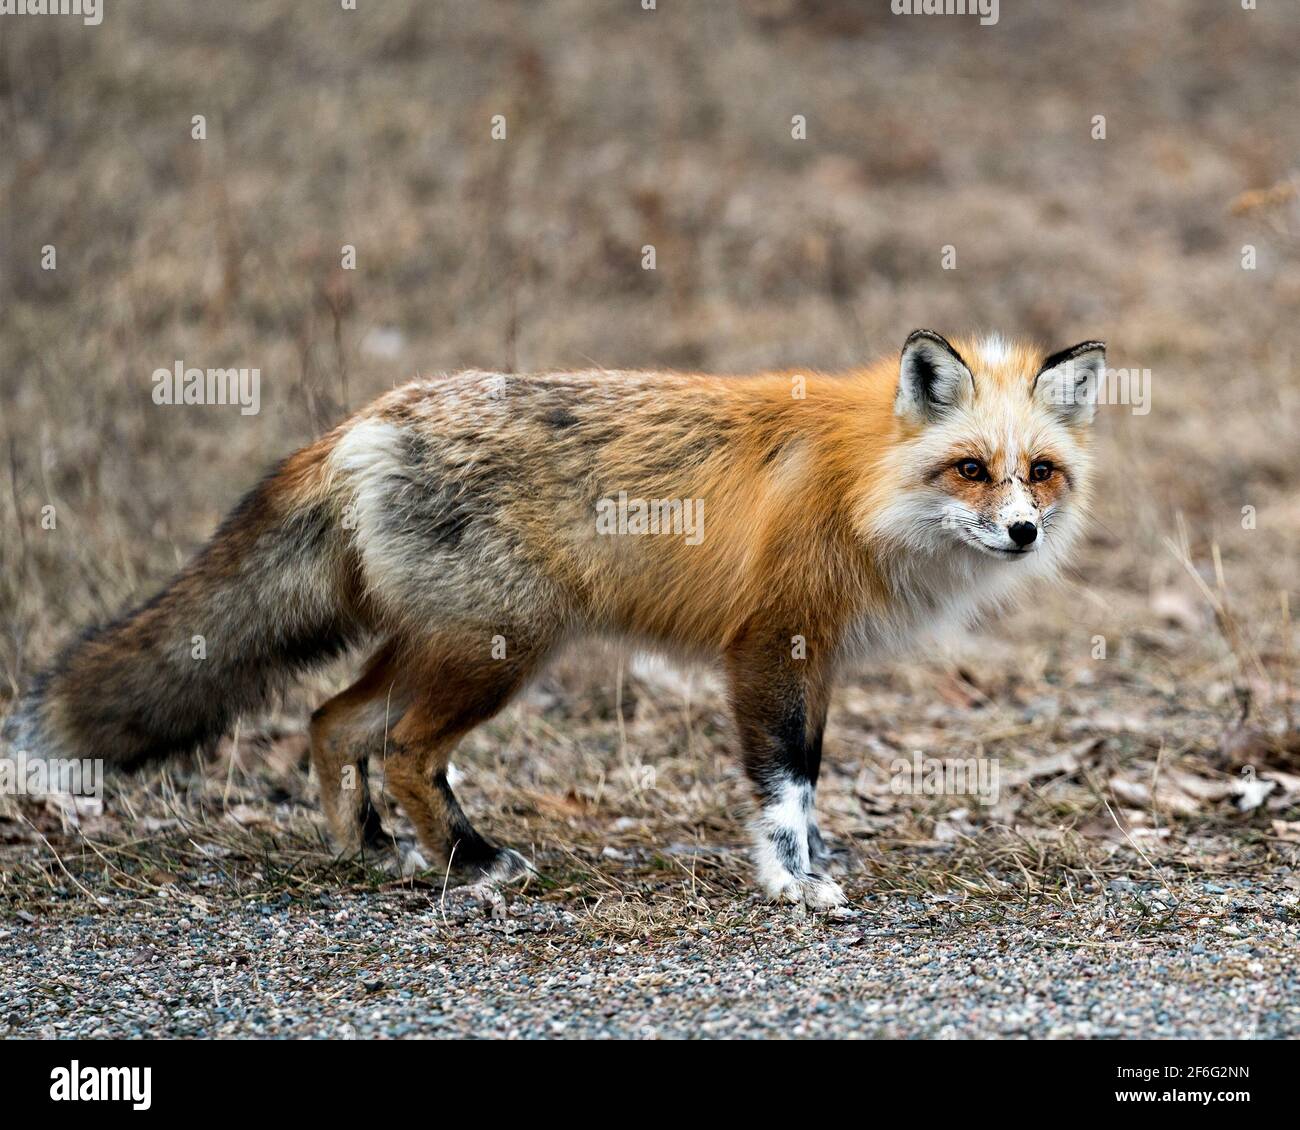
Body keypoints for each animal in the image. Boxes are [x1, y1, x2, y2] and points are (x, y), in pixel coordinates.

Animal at [5, 328, 1102, 910]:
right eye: (971, 468)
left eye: (1040, 471)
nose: (1020, 532)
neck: (859, 484)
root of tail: (360, 421)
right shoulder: (771, 646)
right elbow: (786, 782)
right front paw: (791, 884)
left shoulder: (815, 655)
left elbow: (809, 779)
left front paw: (815, 861)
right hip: (501, 651)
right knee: (402, 748)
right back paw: (472, 862)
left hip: (444, 644)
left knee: (329, 721)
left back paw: (369, 849)